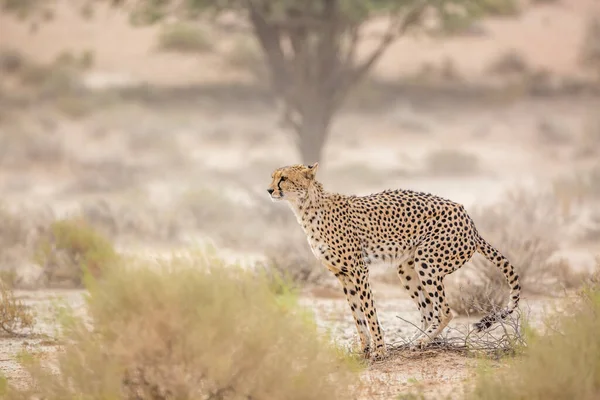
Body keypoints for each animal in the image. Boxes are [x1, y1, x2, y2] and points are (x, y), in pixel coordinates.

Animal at [268, 162, 520, 360]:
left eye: (284, 178)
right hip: (406, 268)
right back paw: (417, 340)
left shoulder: (358, 270)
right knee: (428, 311)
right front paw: (364, 350)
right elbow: (357, 316)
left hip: (427, 261)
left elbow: (369, 312)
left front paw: (380, 350)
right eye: (273, 176)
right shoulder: (342, 275)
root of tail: (470, 220)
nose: (269, 190)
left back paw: (423, 341)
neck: (306, 207)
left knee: (445, 311)